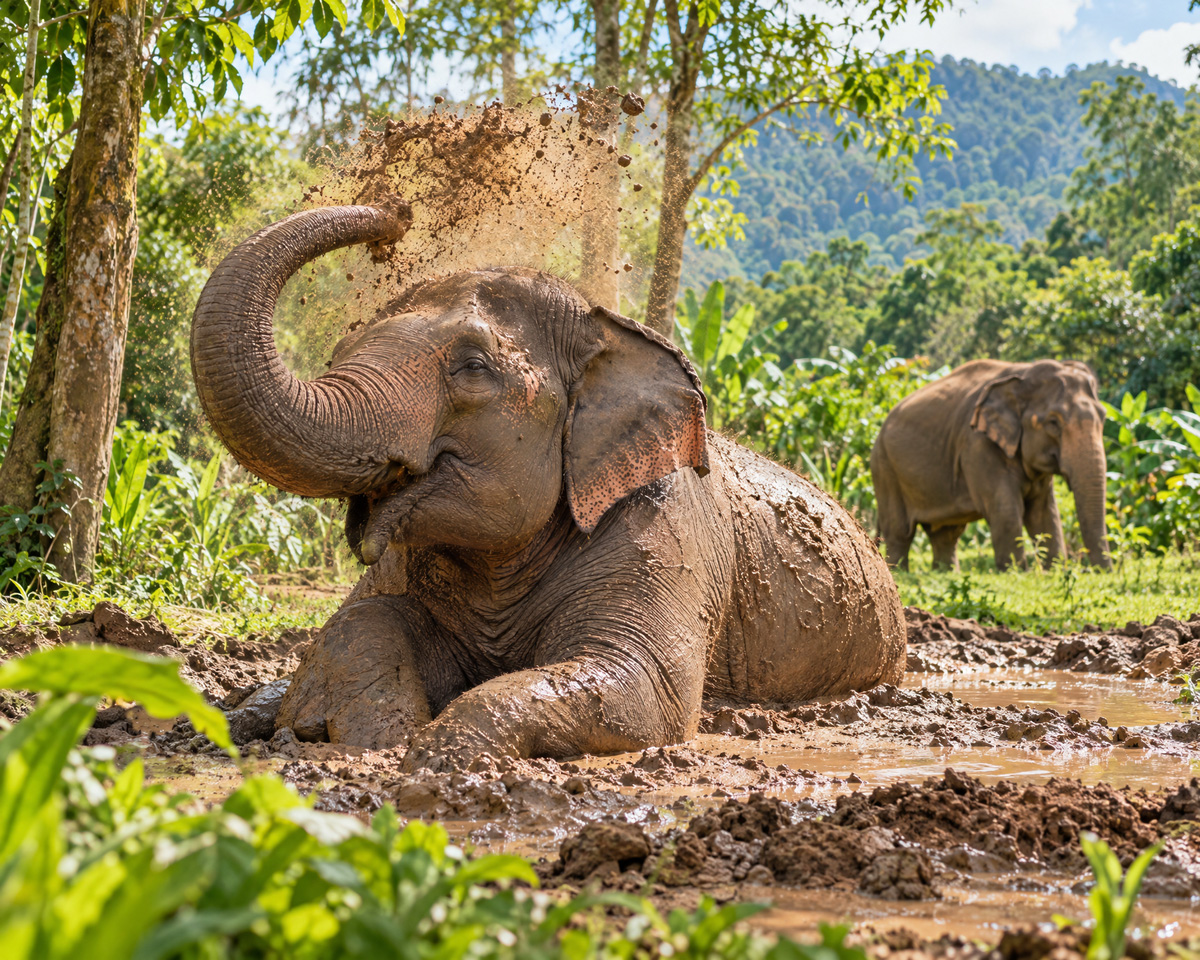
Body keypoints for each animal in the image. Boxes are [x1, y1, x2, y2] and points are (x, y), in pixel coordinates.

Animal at [190, 203, 905, 771]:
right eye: (339, 350)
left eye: (473, 368)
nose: (395, 215)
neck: (607, 330)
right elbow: (362, 620)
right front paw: (344, 728)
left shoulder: (661, 533)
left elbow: (645, 687)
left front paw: (437, 756)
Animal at [870, 358, 1111, 572]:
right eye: (1053, 422)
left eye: (1103, 417)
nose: (1098, 571)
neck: (1023, 373)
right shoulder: (977, 445)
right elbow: (1005, 508)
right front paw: (1017, 572)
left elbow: (1044, 511)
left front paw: (1054, 570)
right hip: (885, 468)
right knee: (899, 531)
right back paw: (899, 572)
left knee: (946, 533)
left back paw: (948, 572)